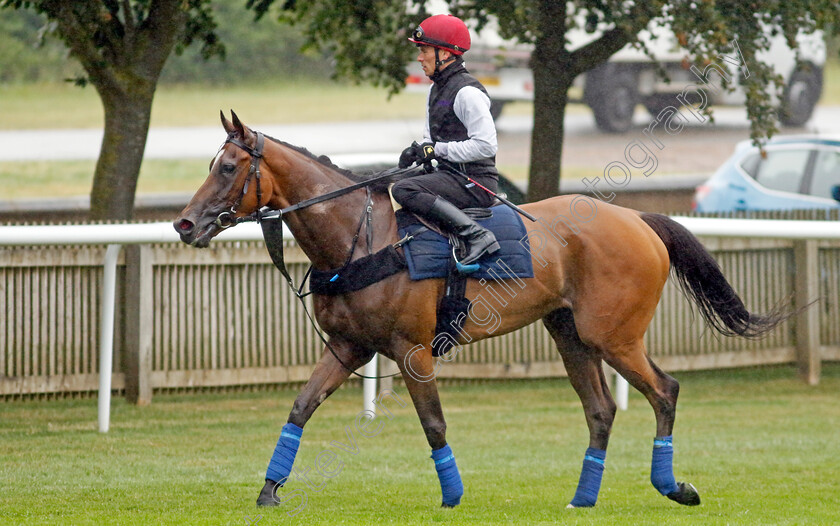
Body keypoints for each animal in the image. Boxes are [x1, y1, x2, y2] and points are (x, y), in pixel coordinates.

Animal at [174, 111, 784, 512]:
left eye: (228, 167)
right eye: (212, 163)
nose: (184, 223)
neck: (362, 238)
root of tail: (637, 219)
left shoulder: (412, 352)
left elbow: (433, 423)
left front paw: (452, 496)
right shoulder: (348, 349)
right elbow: (300, 407)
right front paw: (269, 489)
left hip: (614, 337)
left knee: (664, 391)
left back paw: (672, 486)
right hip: (571, 337)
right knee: (601, 410)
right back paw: (583, 498)